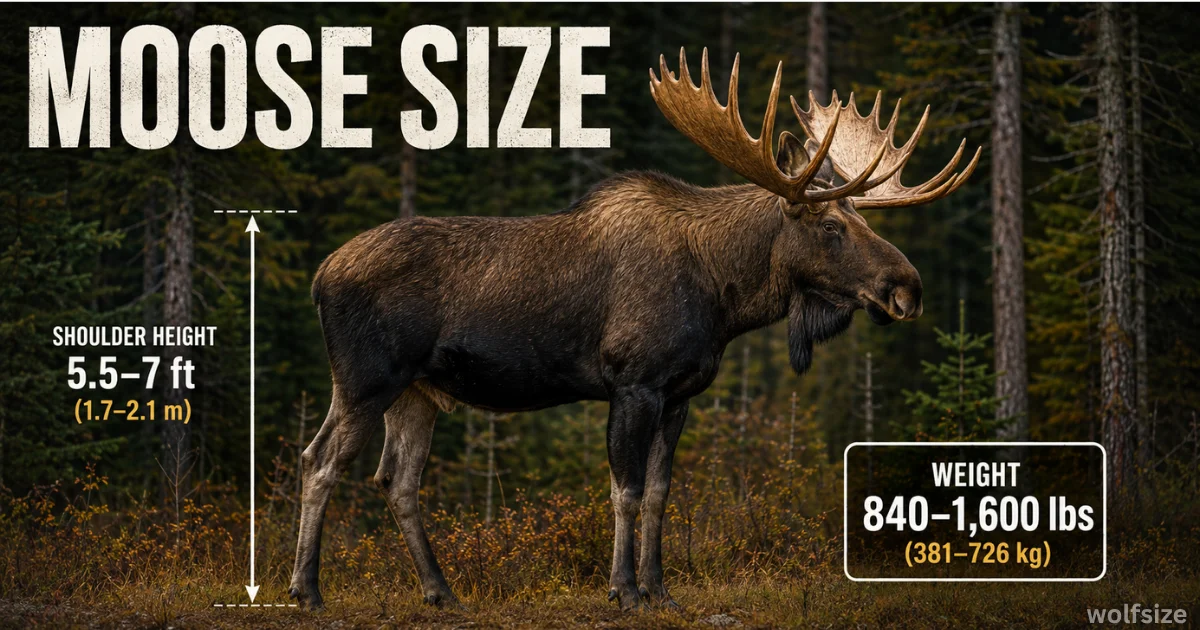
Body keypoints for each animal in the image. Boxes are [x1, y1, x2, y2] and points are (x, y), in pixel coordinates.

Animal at [288, 48, 980, 611]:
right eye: (832, 226)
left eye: (861, 220)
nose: (908, 289)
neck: (724, 295)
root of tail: (320, 276)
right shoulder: (633, 382)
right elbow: (625, 488)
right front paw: (622, 589)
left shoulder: (680, 394)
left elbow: (659, 493)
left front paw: (659, 588)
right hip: (365, 379)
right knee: (319, 460)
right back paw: (307, 589)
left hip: (418, 393)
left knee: (396, 480)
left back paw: (441, 591)